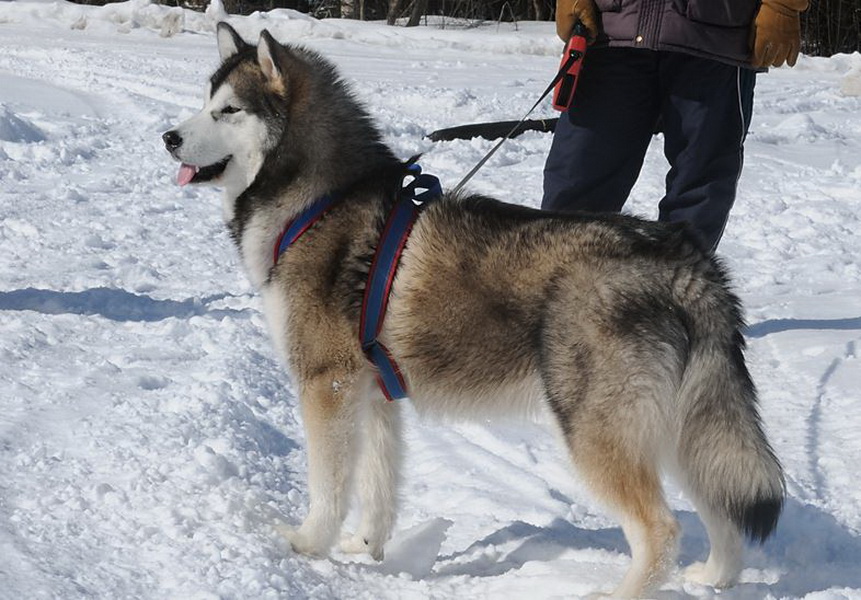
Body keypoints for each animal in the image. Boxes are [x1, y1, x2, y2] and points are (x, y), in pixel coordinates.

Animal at [163, 22, 788, 596]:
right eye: (205, 103)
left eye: (228, 110)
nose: (168, 136)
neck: (318, 200)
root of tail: (685, 259)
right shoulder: (373, 392)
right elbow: (377, 484)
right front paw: (366, 547)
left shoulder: (328, 385)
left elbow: (329, 485)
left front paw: (307, 544)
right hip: (682, 425)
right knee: (723, 509)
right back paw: (714, 577)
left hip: (596, 428)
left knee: (660, 530)